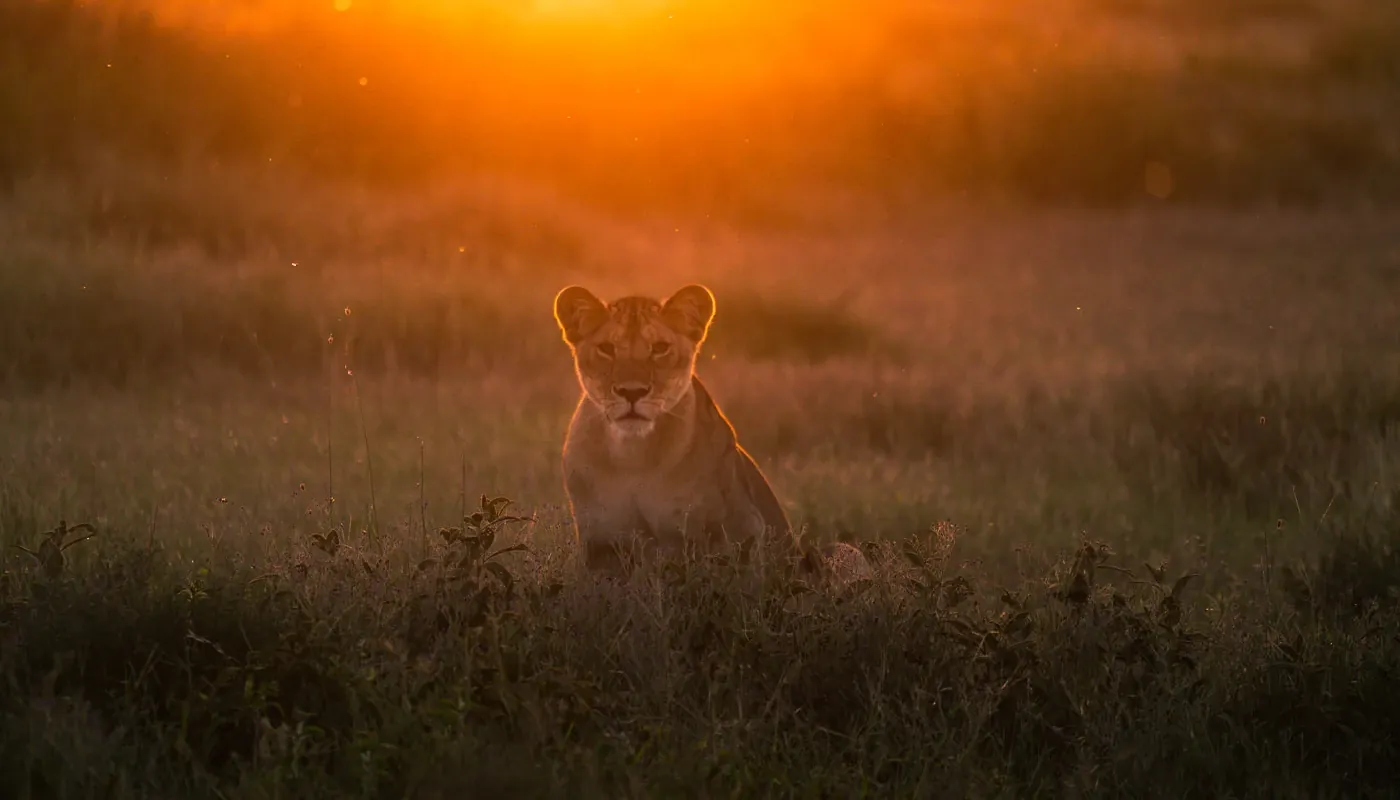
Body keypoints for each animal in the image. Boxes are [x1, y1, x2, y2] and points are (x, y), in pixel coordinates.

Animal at [552, 283, 870, 583]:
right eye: (606, 348)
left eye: (660, 348)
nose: (632, 392)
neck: (633, 455)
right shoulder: (598, 545)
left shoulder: (742, 531)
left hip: (836, 550)